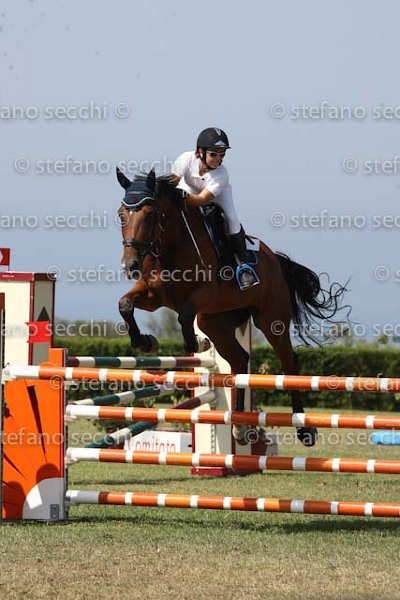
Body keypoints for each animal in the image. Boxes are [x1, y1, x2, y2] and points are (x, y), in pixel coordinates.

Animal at [116, 167, 348, 447]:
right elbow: (125, 305)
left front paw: (196, 344)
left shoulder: (204, 294)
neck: (170, 246)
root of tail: (276, 261)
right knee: (239, 360)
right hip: (214, 322)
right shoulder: (153, 295)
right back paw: (240, 427)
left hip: (271, 320)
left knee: (288, 361)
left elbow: (183, 316)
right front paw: (146, 342)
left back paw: (303, 429)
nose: (130, 265)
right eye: (121, 214)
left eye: (150, 214)